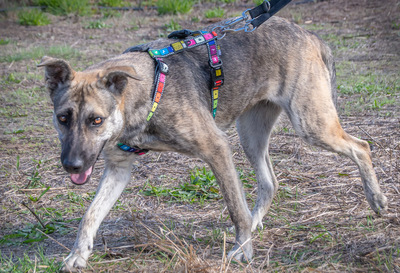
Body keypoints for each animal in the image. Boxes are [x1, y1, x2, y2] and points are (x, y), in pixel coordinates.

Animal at [38, 16, 388, 270]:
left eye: (95, 120)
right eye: (63, 118)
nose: (72, 166)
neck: (144, 93)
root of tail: (311, 36)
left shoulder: (216, 148)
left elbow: (234, 208)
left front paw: (243, 251)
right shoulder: (118, 169)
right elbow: (90, 215)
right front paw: (78, 255)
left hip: (311, 124)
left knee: (361, 146)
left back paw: (376, 199)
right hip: (251, 134)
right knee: (270, 183)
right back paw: (255, 225)